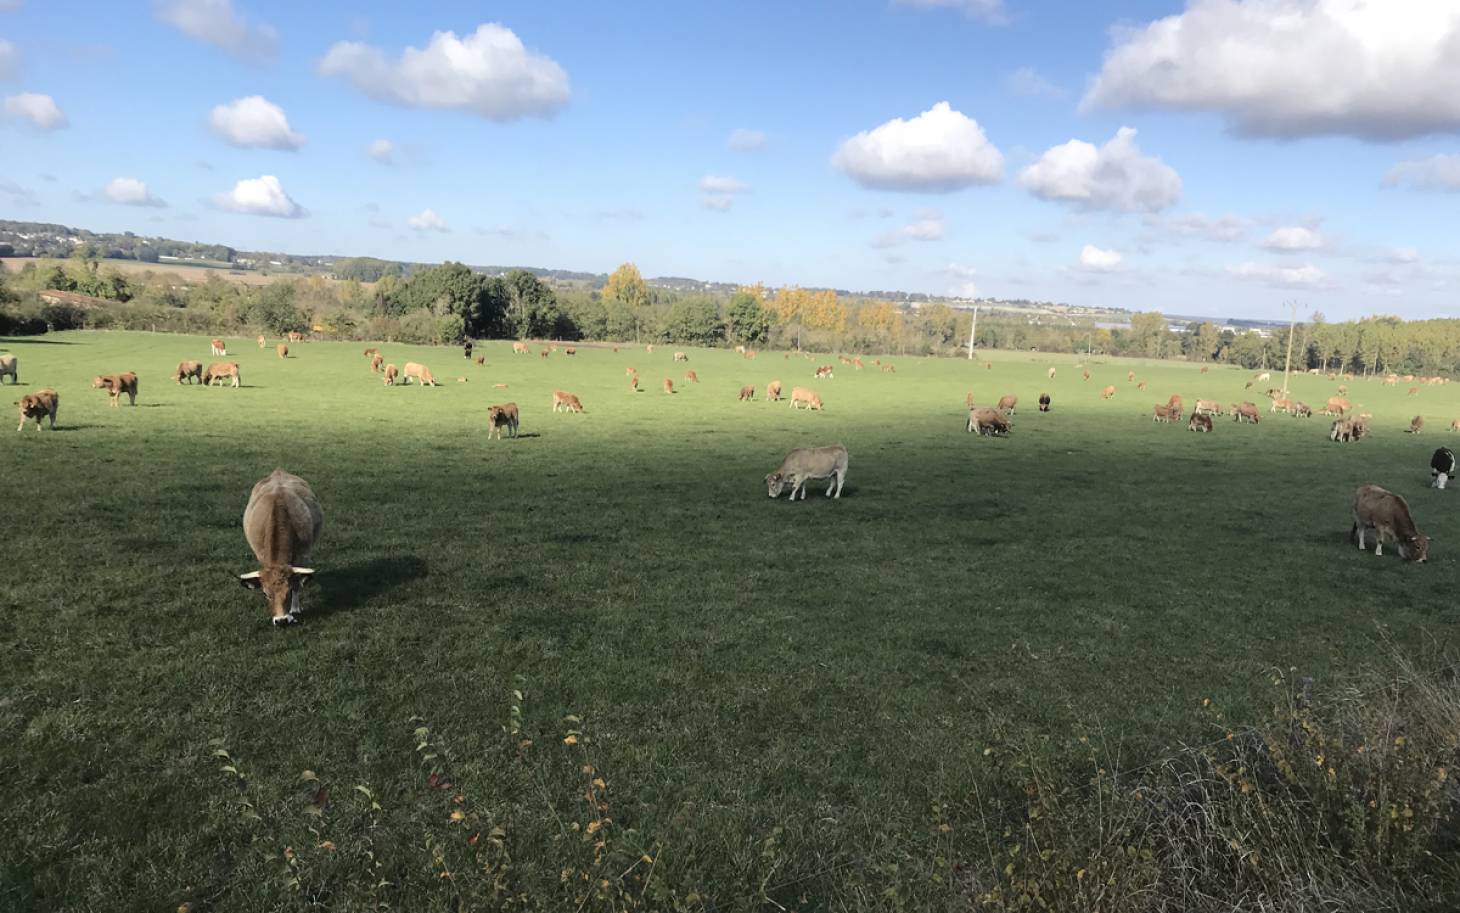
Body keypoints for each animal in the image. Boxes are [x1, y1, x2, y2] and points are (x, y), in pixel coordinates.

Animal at [239, 467, 322, 622]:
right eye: (265, 593)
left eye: (288, 592)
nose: (281, 620)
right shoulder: (261, 555)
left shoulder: (302, 555)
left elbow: (296, 583)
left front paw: (294, 609)